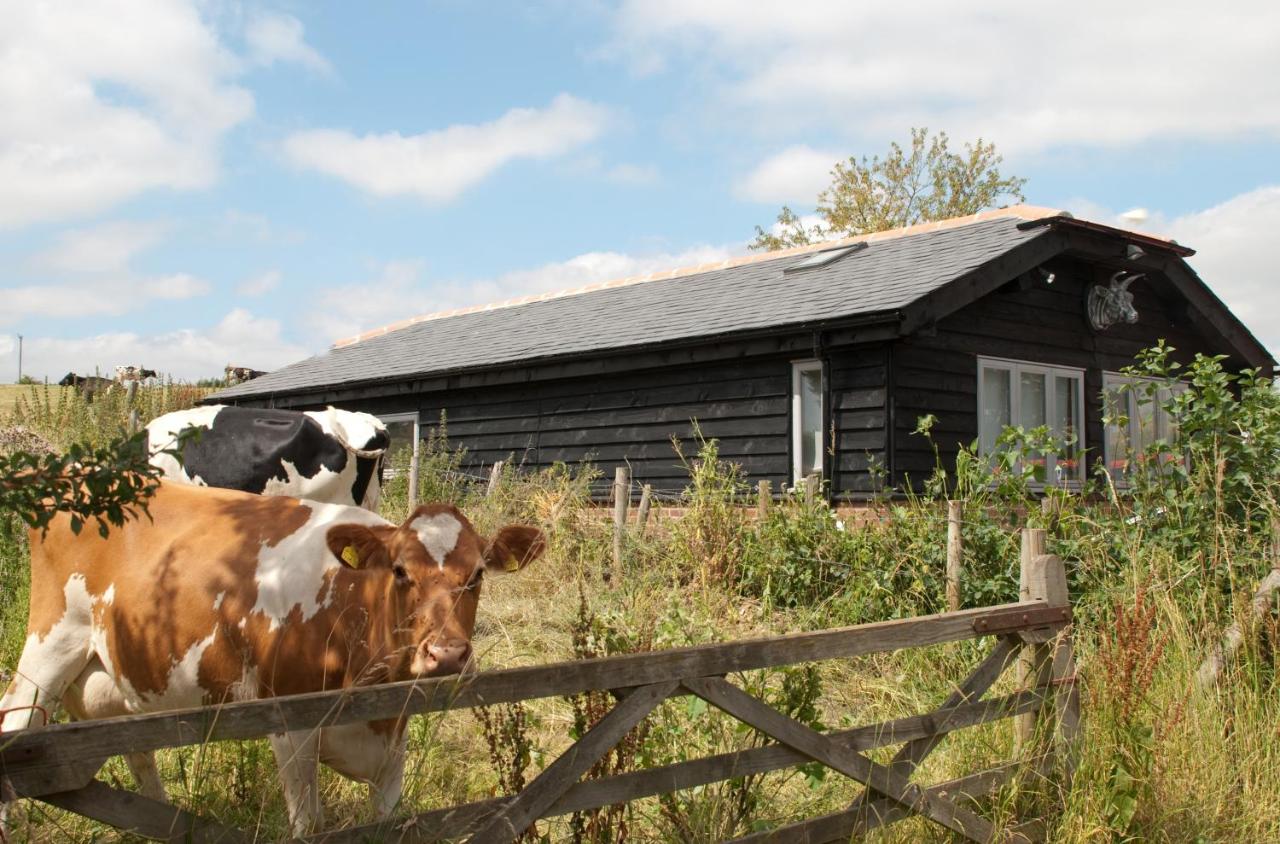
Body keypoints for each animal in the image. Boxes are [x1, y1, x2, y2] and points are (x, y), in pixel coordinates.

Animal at [0, 482, 546, 833]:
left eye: (477, 574)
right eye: (399, 571)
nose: (447, 654)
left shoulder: (395, 731)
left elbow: (388, 818)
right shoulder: (290, 722)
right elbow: (309, 825)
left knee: (138, 750)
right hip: (51, 644)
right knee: (14, 725)